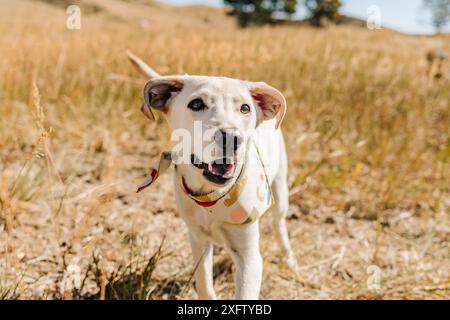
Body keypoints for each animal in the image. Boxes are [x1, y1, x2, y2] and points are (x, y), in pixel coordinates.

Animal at [129, 51, 298, 298]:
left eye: (245, 108)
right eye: (197, 103)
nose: (232, 138)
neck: (211, 197)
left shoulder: (249, 258)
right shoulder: (197, 238)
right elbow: (204, 283)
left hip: (279, 190)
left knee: (280, 225)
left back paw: (289, 258)